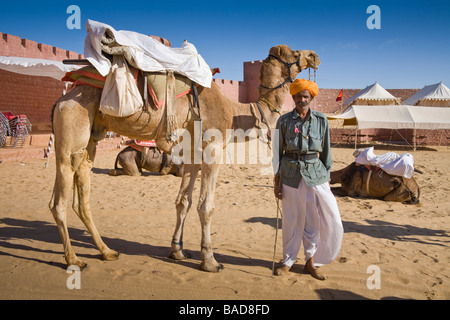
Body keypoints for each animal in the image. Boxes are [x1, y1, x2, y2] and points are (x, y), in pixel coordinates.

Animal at [49, 43, 320, 272]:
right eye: (295, 53)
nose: (314, 56)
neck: (234, 112)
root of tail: (63, 98)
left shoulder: (192, 154)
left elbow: (183, 202)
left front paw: (177, 251)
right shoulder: (213, 149)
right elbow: (205, 206)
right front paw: (209, 261)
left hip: (90, 139)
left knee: (81, 192)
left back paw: (107, 252)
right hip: (72, 122)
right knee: (59, 200)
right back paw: (73, 260)